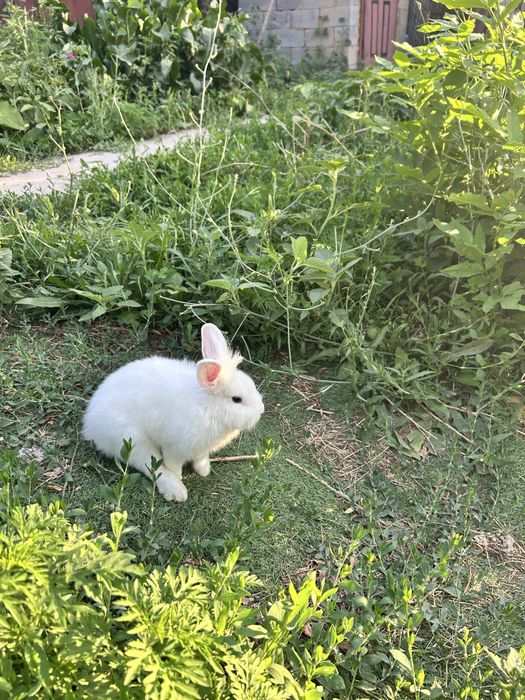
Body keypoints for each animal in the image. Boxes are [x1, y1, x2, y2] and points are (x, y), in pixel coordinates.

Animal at [82, 323, 264, 502]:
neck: (208, 407)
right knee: (152, 467)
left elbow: (200, 459)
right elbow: (173, 465)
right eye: (236, 399)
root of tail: (90, 425)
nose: (261, 411)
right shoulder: (174, 447)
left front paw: (203, 470)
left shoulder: (201, 449)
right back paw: (177, 490)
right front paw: (180, 476)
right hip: (132, 441)